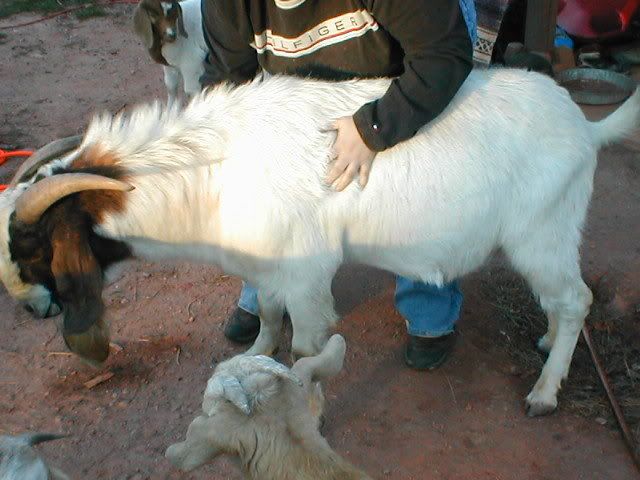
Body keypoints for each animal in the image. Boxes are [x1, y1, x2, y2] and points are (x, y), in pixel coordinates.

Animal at [0, 69, 638, 416]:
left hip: (541, 232)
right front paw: (255, 355)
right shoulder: (270, 262)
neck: (216, 169)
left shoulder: (308, 275)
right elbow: (266, 310)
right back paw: (545, 344)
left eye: (32, 247)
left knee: (576, 299)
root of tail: (586, 128)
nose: (31, 309)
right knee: (561, 303)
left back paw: (545, 392)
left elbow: (306, 352)